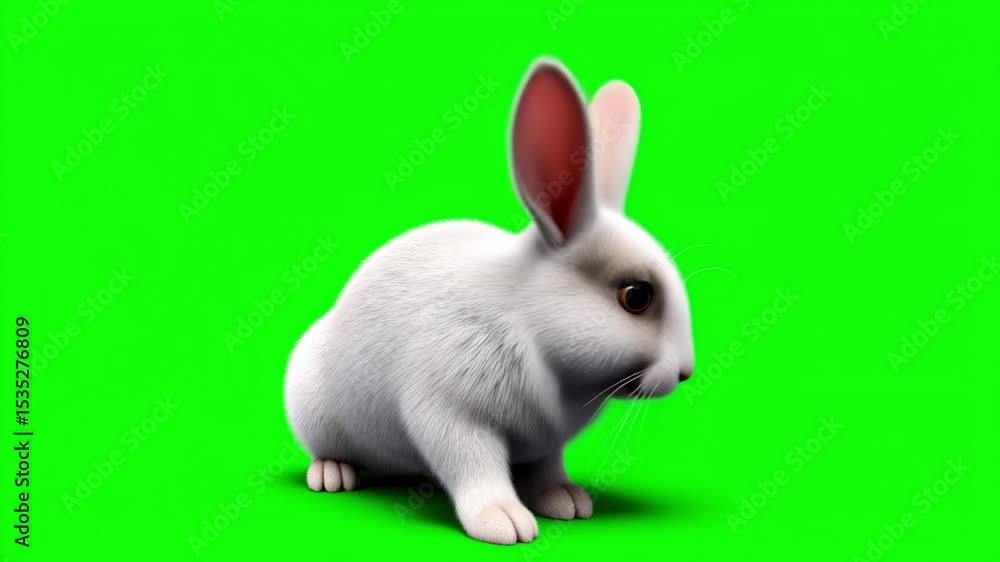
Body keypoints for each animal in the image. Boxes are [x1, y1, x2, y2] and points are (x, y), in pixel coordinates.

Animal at [283, 58, 694, 545]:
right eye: (636, 296)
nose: (685, 372)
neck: (530, 328)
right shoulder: (452, 415)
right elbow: (474, 468)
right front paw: (504, 521)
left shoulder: (545, 442)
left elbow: (547, 470)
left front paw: (566, 501)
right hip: (314, 409)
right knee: (326, 449)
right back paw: (332, 474)